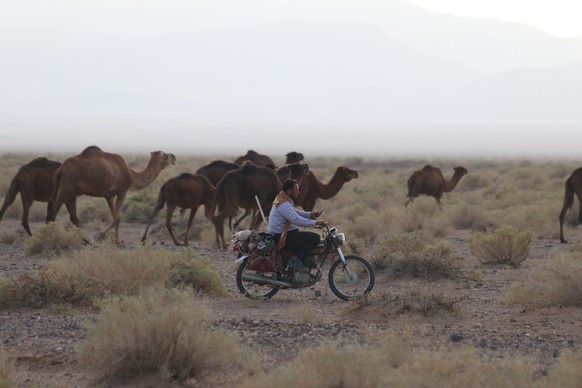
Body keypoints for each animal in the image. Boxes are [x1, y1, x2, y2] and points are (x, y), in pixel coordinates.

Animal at [47, 146, 176, 242]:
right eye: (165, 155)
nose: (174, 157)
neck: (132, 175)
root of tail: (60, 170)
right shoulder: (122, 191)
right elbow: (118, 217)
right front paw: (113, 241)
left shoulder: (110, 195)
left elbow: (114, 216)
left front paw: (113, 239)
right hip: (66, 187)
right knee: (53, 213)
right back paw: (52, 238)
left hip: (68, 191)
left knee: (71, 216)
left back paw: (84, 241)